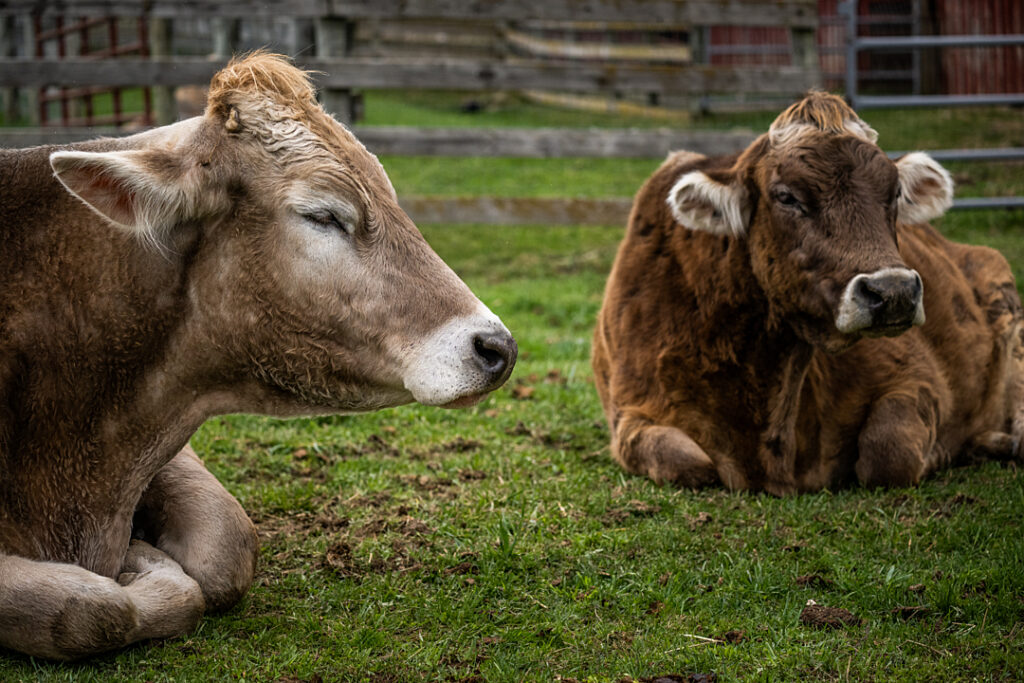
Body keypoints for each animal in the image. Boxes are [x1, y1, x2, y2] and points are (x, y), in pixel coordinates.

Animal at [592, 92, 1024, 496]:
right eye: (786, 196)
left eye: (895, 193)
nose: (894, 290)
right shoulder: (631, 414)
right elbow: (689, 464)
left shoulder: (918, 379)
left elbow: (887, 452)